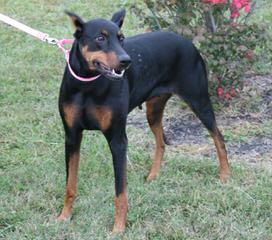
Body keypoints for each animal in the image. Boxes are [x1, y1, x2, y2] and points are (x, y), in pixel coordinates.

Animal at [56, 8, 230, 232]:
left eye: (121, 38)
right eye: (100, 38)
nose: (126, 61)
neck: (88, 85)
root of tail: (186, 41)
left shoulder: (118, 140)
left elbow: (120, 192)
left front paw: (118, 228)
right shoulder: (71, 136)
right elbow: (70, 184)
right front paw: (64, 217)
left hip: (198, 100)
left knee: (218, 137)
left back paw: (225, 175)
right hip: (153, 110)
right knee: (161, 143)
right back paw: (153, 175)